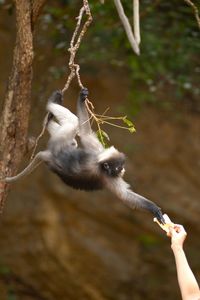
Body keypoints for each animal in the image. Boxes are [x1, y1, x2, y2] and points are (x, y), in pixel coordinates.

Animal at [3, 88, 166, 224]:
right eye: (118, 167)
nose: (123, 171)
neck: (99, 163)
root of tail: (49, 156)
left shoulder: (98, 153)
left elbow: (84, 133)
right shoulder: (108, 176)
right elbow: (126, 196)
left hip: (62, 144)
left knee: (73, 131)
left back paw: (48, 119)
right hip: (59, 144)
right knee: (72, 122)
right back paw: (52, 102)